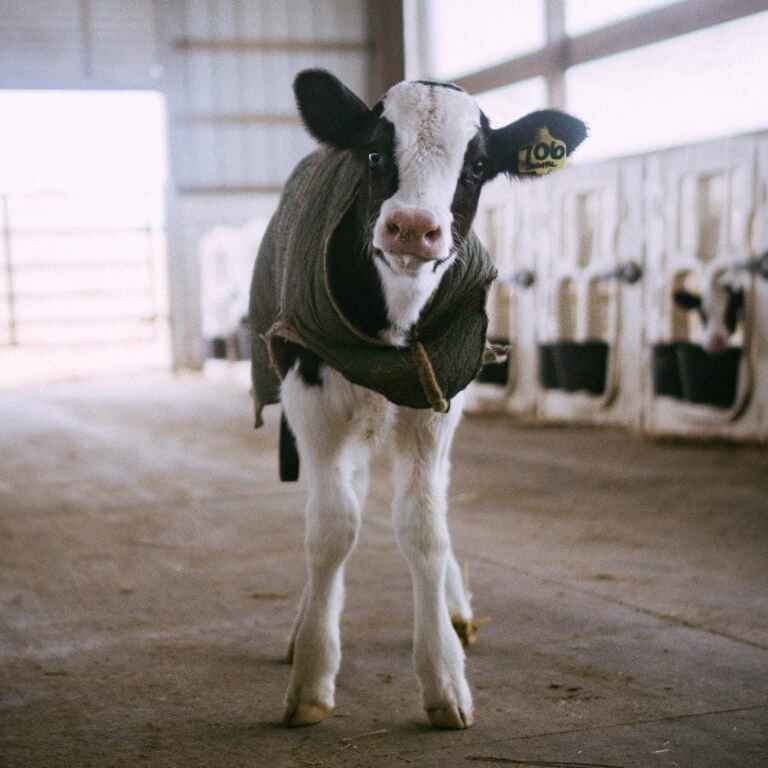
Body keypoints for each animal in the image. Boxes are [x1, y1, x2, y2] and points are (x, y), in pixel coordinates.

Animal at [249, 69, 586, 730]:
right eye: (376, 153)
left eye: (477, 166)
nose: (410, 227)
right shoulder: (310, 389)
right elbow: (331, 527)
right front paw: (312, 677)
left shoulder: (438, 397)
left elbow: (425, 527)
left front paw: (444, 678)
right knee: (344, 497)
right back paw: (306, 626)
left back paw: (456, 611)